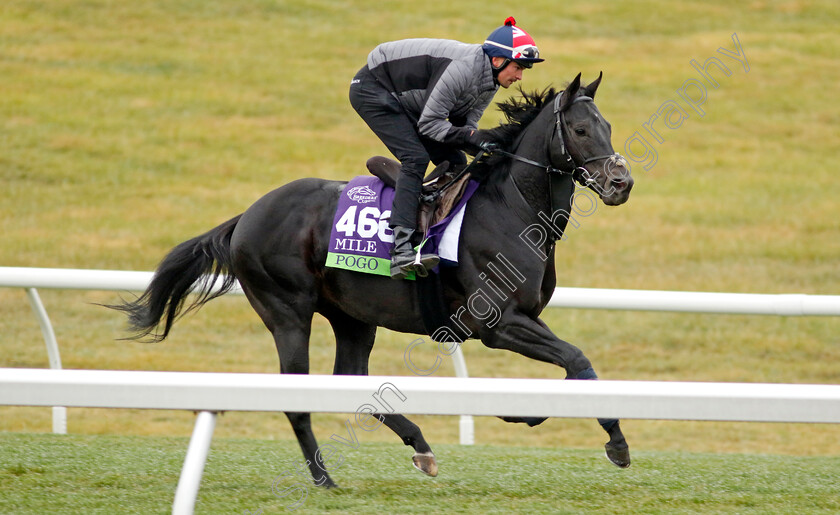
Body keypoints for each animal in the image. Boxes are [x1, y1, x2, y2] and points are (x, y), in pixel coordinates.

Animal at [115, 72, 632, 488]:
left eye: (608, 127)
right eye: (581, 130)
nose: (621, 184)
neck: (512, 208)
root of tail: (248, 215)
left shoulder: (524, 319)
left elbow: (571, 370)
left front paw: (527, 411)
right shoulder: (497, 322)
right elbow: (579, 360)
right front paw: (616, 442)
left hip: (353, 317)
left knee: (350, 378)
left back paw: (420, 446)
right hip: (287, 311)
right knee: (296, 396)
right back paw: (324, 479)